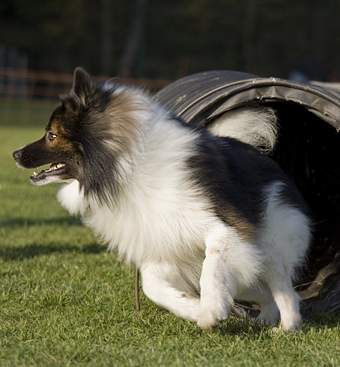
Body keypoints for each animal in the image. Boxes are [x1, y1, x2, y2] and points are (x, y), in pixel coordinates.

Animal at [13, 67, 310, 332]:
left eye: (51, 135)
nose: (15, 154)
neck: (128, 168)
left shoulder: (226, 231)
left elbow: (211, 267)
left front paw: (211, 309)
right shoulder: (164, 243)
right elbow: (152, 286)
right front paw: (193, 309)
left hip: (271, 247)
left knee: (284, 289)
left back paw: (287, 327)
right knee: (266, 292)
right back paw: (265, 321)